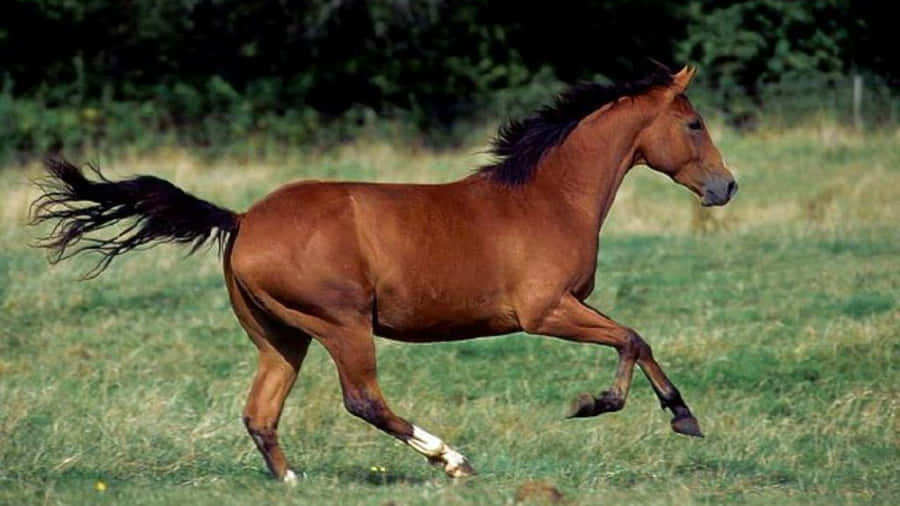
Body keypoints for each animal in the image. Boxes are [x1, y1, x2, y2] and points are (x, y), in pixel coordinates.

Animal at [31, 66, 737, 482]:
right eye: (693, 122)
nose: (726, 186)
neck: (548, 196)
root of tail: (243, 220)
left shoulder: (562, 309)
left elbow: (635, 339)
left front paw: (672, 414)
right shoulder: (545, 311)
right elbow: (632, 338)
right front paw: (613, 407)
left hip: (280, 337)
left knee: (261, 413)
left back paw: (293, 483)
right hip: (341, 324)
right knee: (363, 400)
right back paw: (452, 460)